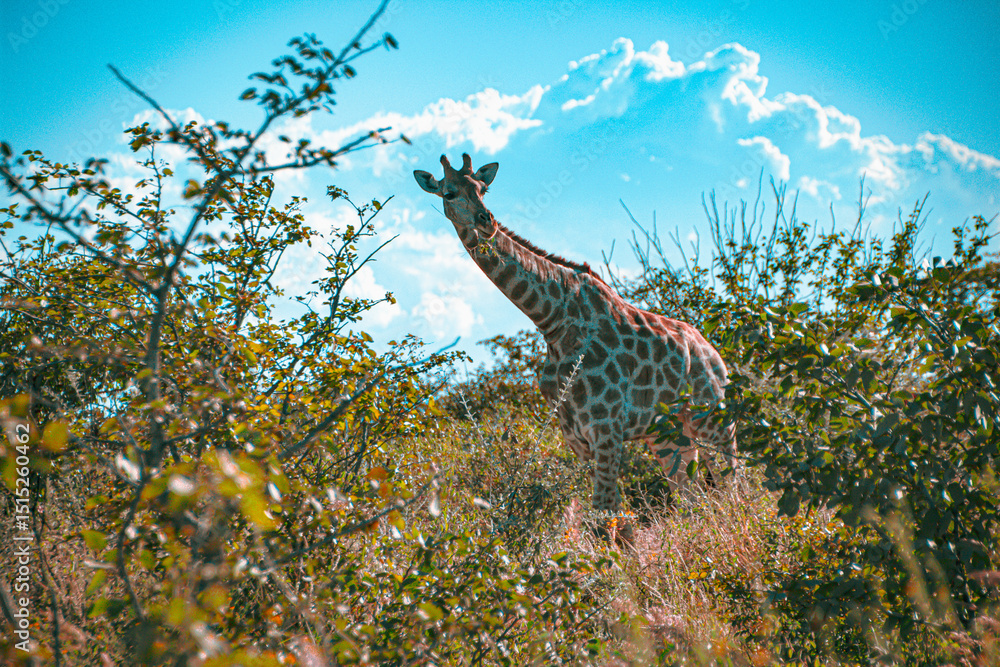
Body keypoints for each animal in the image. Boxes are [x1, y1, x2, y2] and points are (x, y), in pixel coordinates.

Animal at [414, 154, 736, 535]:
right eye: (448, 193)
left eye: (483, 189)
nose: (486, 222)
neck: (551, 320)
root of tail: (715, 355)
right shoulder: (576, 437)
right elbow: (601, 517)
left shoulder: (607, 429)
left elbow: (606, 514)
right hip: (669, 434)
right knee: (689, 492)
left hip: (712, 417)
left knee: (735, 482)